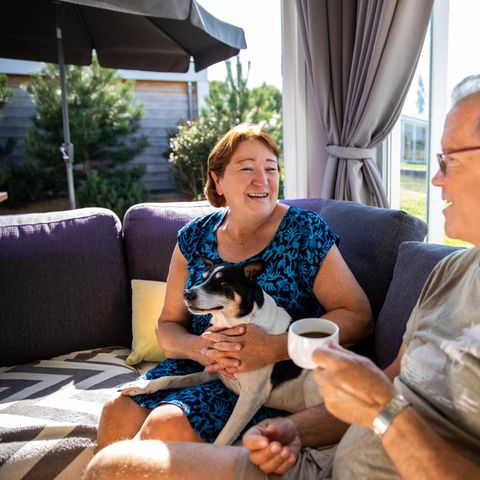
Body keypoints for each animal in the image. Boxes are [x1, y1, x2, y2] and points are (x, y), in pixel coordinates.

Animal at [119, 260, 322, 444]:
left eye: (222, 284)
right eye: (202, 279)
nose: (186, 294)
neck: (242, 321)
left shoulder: (251, 397)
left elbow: (224, 436)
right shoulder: (212, 372)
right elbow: (171, 378)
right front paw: (142, 386)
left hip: (310, 382)